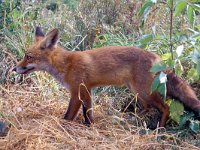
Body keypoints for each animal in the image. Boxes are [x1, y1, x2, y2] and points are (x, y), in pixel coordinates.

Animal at [12, 27, 200, 127]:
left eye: (28, 57)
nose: (14, 68)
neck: (66, 65)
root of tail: (159, 58)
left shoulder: (77, 92)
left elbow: (68, 115)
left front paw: (65, 126)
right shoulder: (87, 91)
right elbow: (88, 113)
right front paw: (89, 126)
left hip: (143, 91)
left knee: (165, 108)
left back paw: (158, 130)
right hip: (137, 90)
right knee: (146, 107)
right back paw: (129, 118)